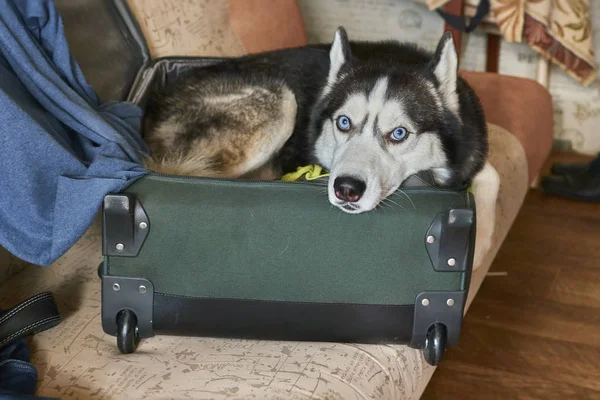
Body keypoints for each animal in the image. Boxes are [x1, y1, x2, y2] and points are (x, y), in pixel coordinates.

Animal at [143, 28, 500, 268]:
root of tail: (154, 104)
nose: (347, 188)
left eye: (399, 133)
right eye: (343, 122)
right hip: (281, 102)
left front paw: (480, 244)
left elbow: (491, 177)